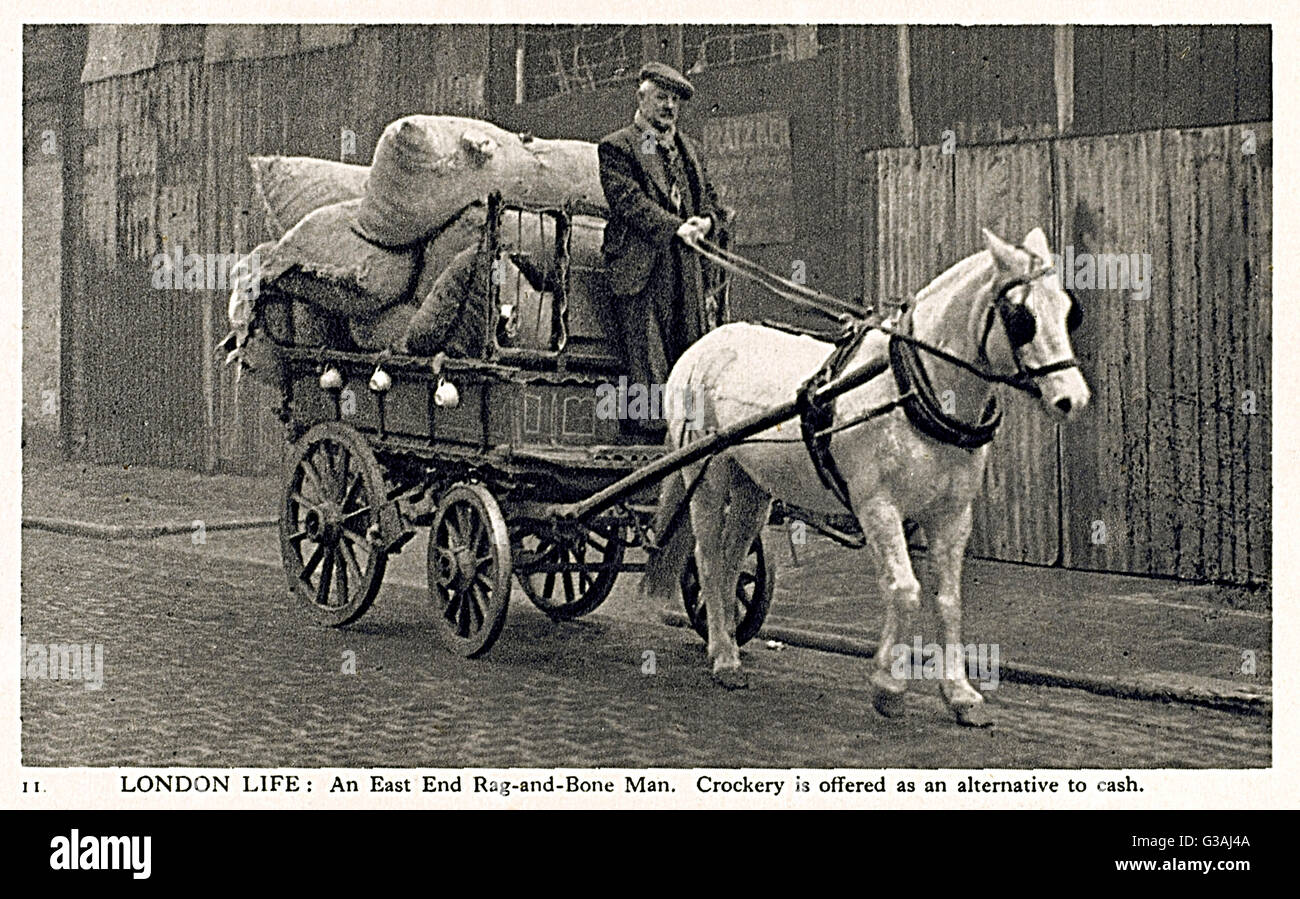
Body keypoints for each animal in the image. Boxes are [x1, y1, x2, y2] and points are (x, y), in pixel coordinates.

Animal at [644, 228, 1092, 727]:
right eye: (1020, 317)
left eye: (1068, 309)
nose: (1073, 399)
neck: (911, 387)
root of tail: (704, 343)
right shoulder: (878, 506)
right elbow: (905, 590)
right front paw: (888, 686)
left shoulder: (953, 514)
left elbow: (949, 600)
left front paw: (960, 694)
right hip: (707, 473)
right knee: (706, 558)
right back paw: (724, 658)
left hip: (752, 487)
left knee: (730, 559)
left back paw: (724, 643)